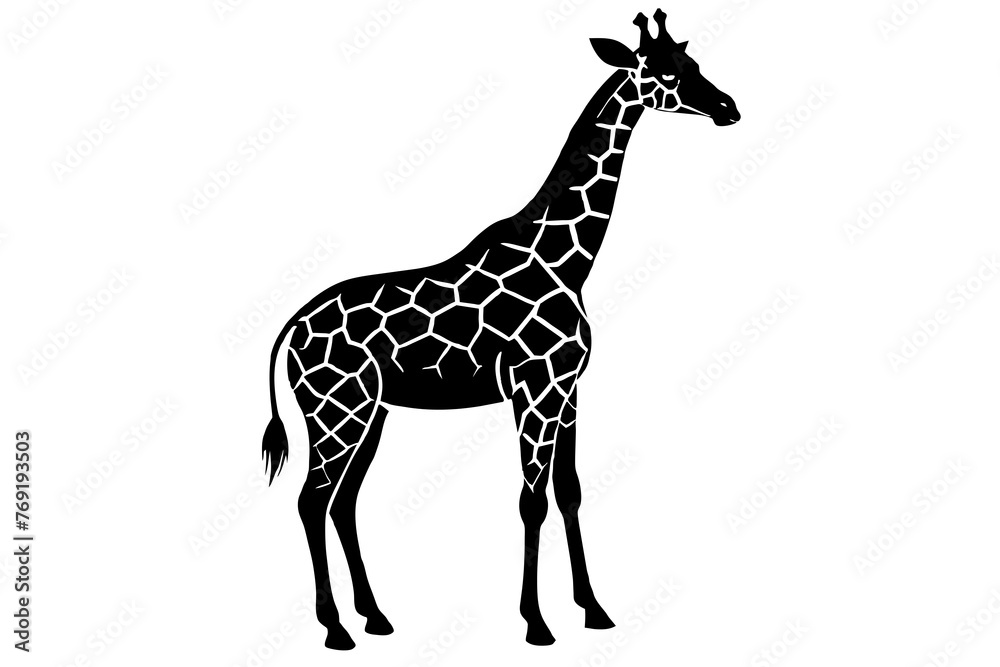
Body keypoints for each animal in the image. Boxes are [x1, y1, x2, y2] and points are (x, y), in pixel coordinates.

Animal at [260, 9, 739, 650]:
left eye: (692, 60)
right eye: (662, 71)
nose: (728, 107)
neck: (567, 259)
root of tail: (289, 326)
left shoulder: (568, 391)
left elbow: (569, 491)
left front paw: (594, 609)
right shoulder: (532, 390)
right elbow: (530, 500)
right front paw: (536, 623)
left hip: (370, 411)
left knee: (342, 502)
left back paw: (375, 617)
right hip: (338, 409)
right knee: (313, 501)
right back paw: (336, 628)